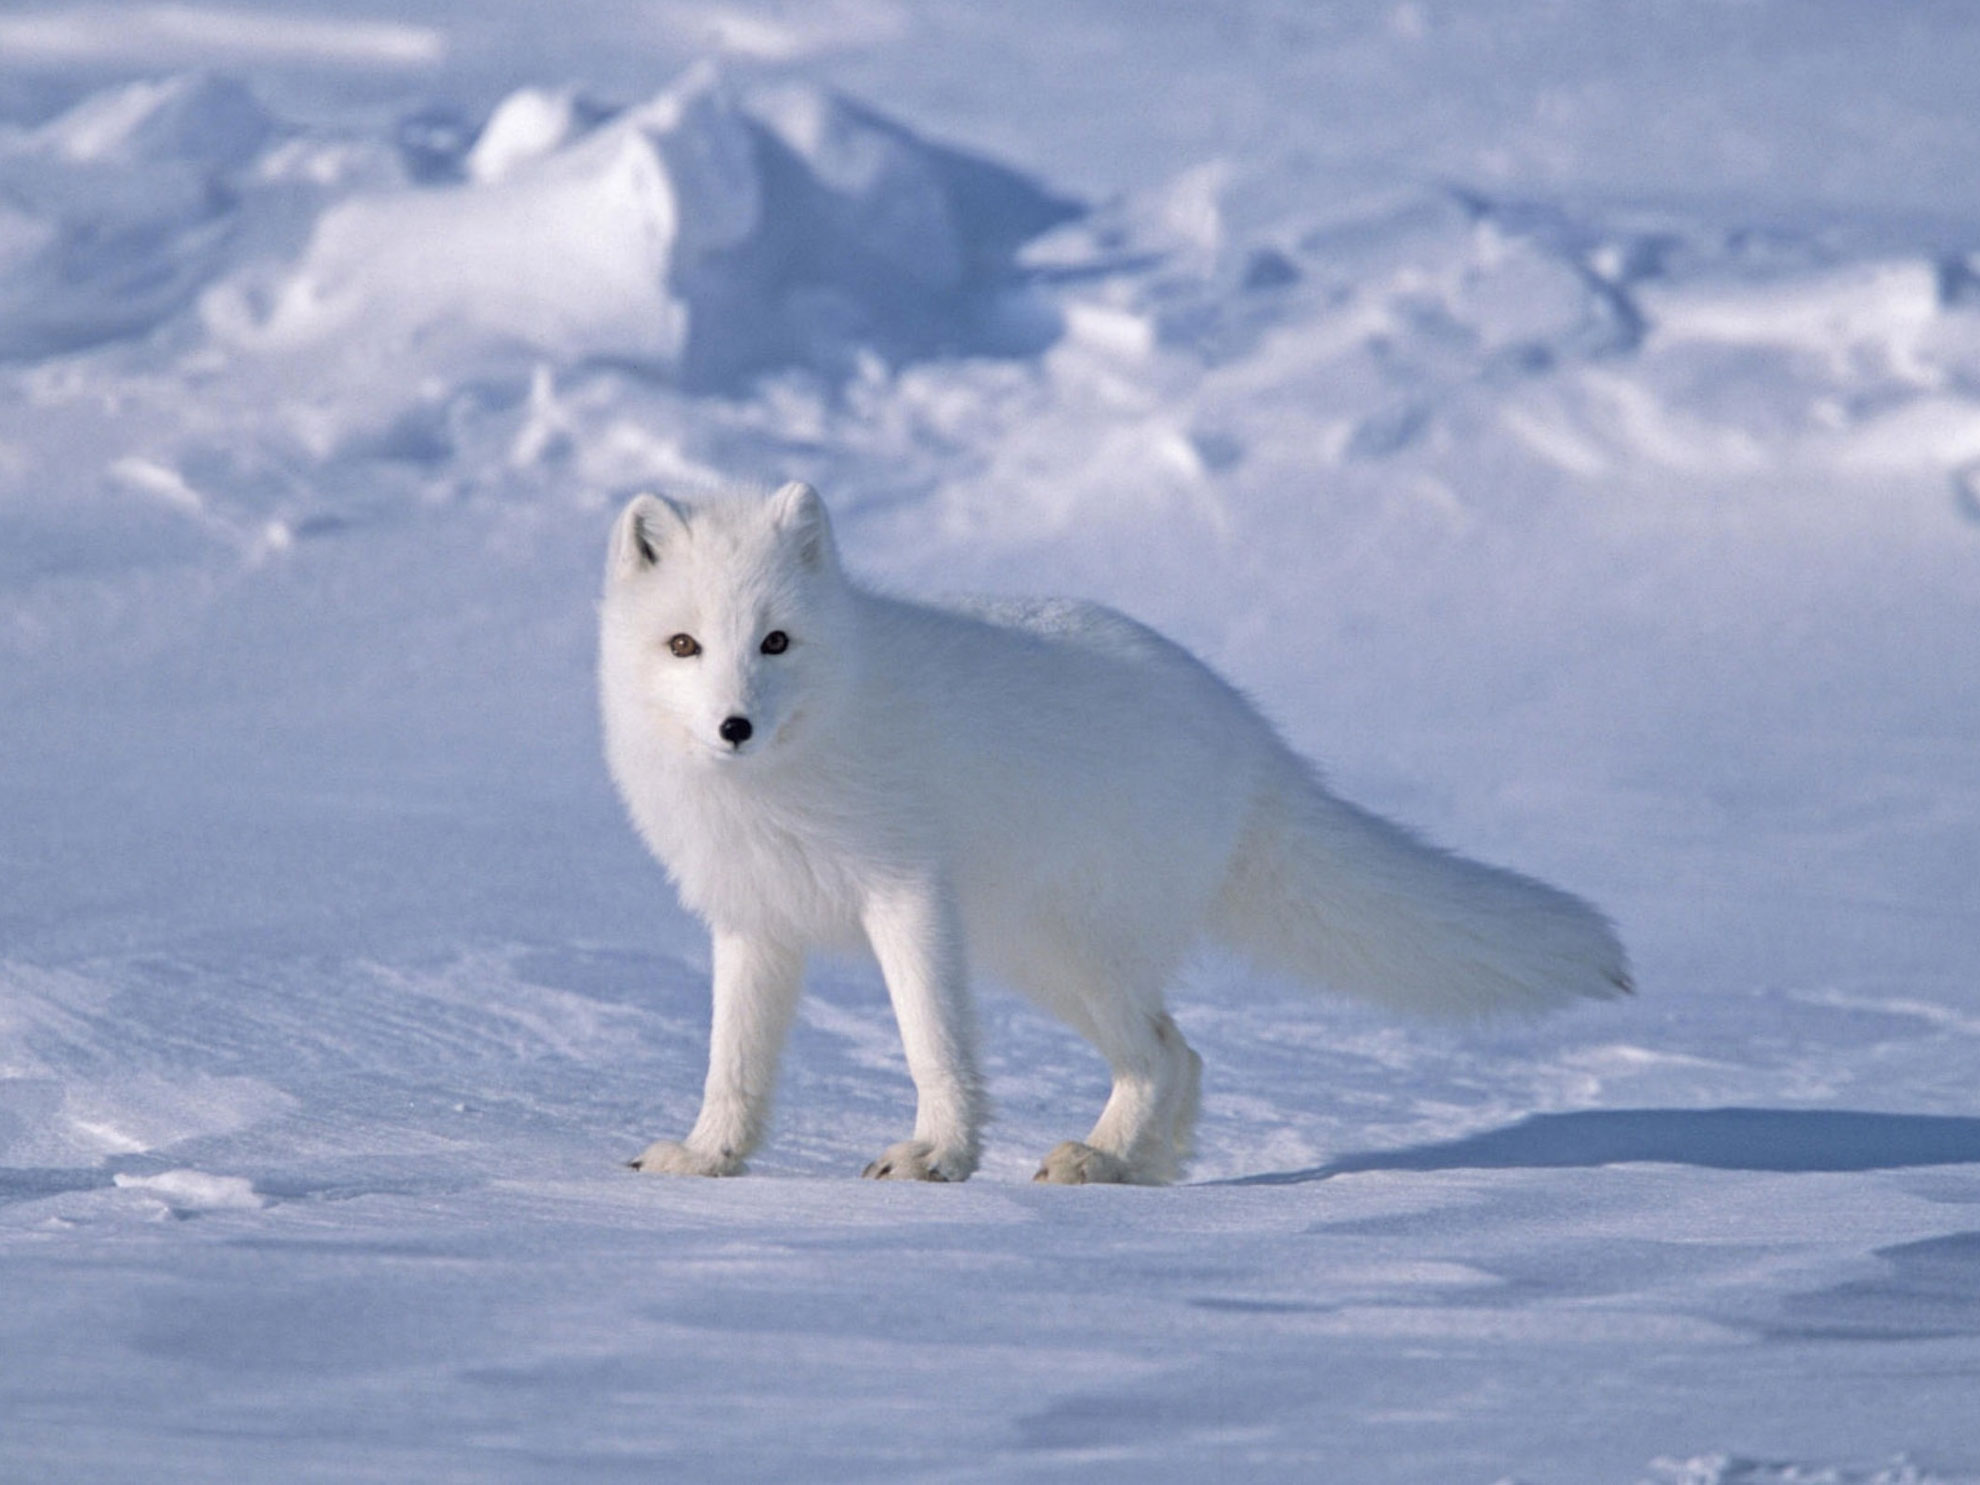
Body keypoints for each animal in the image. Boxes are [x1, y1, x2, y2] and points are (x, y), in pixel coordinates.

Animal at [597, 485, 1623, 1188]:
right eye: (685, 645)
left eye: (775, 641)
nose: (734, 726)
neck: (786, 773)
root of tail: (1252, 735)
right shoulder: (753, 920)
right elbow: (734, 1061)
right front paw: (708, 1156)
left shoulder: (907, 894)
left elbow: (933, 1041)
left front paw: (936, 1155)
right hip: (1041, 956)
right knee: (1182, 1053)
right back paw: (1138, 1166)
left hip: (1070, 948)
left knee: (1164, 1052)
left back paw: (1100, 1158)